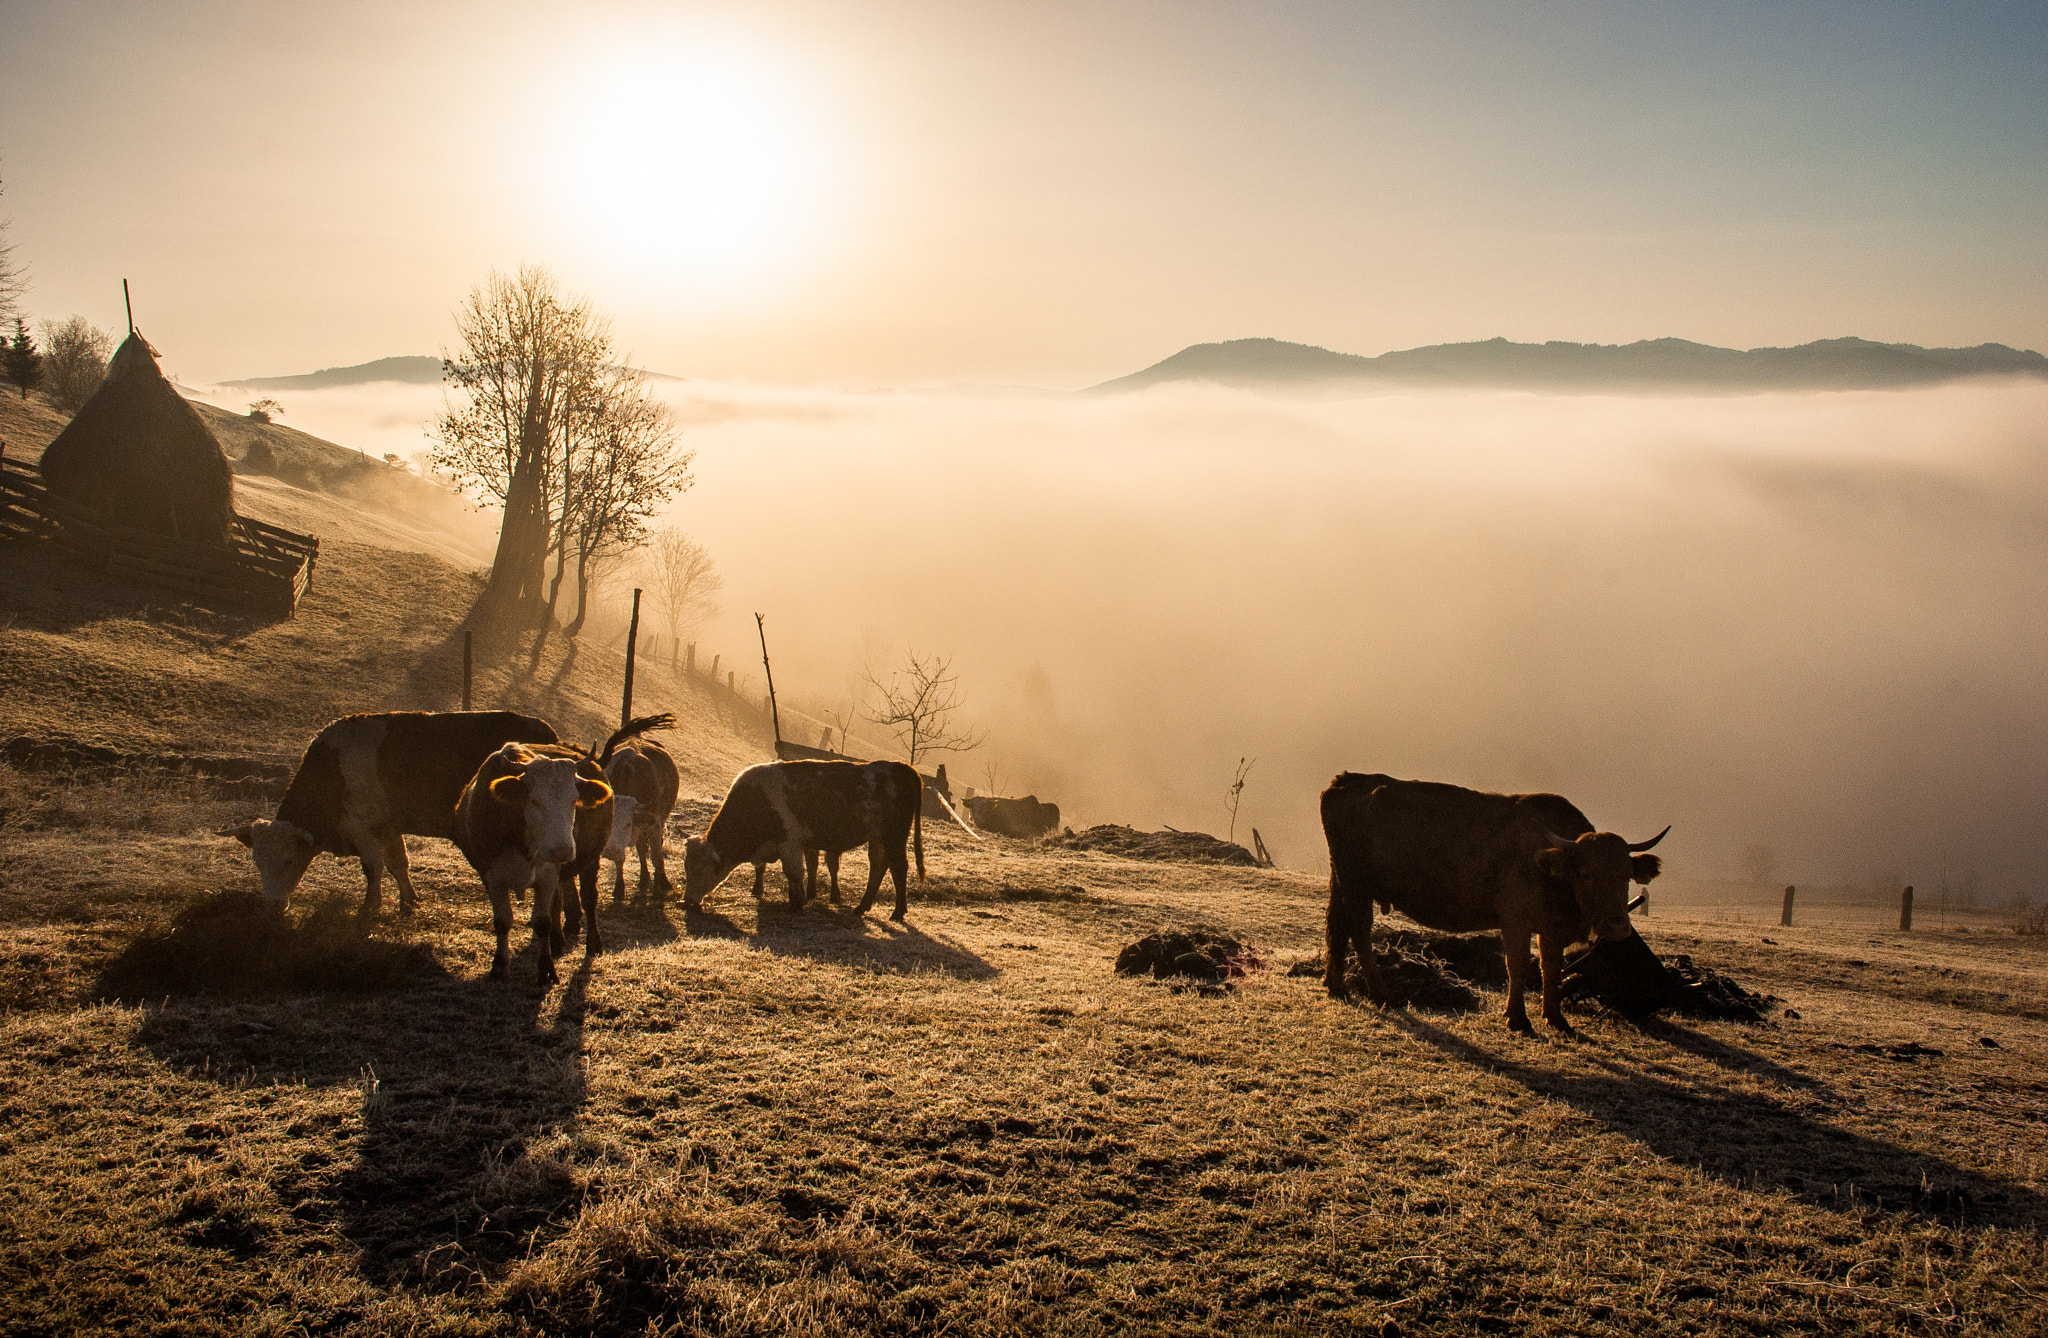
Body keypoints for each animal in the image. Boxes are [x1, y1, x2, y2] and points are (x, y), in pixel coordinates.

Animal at [218, 704, 561, 913]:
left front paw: (370, 906)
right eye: (257, 862)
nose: (273, 905)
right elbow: (398, 863)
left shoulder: (360, 828)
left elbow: (373, 867)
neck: (333, 770)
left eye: (289, 861)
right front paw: (409, 901)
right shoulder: (388, 826)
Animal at [448, 741, 606, 979]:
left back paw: (593, 943)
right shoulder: (490, 877)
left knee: (589, 899)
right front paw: (499, 966)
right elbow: (503, 921)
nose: (563, 851)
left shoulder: (547, 876)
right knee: (558, 901)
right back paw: (557, 942)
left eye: (574, 800)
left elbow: (542, 921)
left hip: (591, 860)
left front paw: (546, 970)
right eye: (534, 800)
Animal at [598, 729, 679, 909]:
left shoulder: (653, 823)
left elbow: (657, 856)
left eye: (627, 824)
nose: (609, 851)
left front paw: (663, 883)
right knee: (642, 849)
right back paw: (644, 877)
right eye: (608, 821)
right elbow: (622, 859)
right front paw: (619, 888)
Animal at [688, 762, 929, 917]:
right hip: (878, 838)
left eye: (700, 869)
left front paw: (797, 902)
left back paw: (898, 912)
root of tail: (904, 768)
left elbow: (794, 872)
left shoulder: (789, 843)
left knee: (899, 868)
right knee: (878, 867)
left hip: (894, 836)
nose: (687, 902)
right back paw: (862, 907)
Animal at [1318, 770, 1671, 1032]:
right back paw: (1382, 994)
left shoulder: (1550, 930)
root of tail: (1344, 781)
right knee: (1359, 932)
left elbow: (1551, 969)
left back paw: (1336, 985)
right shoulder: (1515, 922)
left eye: (1626, 875)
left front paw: (1555, 1017)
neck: (1549, 864)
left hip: (1342, 883)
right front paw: (1518, 1019)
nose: (1616, 927)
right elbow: (1517, 966)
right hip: (1357, 887)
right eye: (1586, 874)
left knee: (1337, 927)